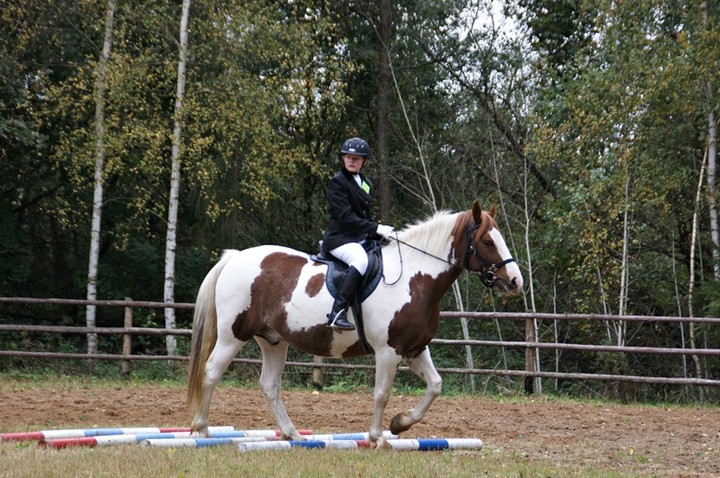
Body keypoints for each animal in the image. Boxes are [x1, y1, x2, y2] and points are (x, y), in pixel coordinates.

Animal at [186, 200, 524, 446]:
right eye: (487, 241)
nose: (515, 281)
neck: (415, 278)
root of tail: (235, 257)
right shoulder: (388, 351)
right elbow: (382, 394)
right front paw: (377, 438)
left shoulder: (415, 349)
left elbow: (435, 386)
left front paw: (399, 424)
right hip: (232, 335)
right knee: (211, 372)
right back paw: (202, 430)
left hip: (273, 340)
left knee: (269, 385)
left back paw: (293, 434)